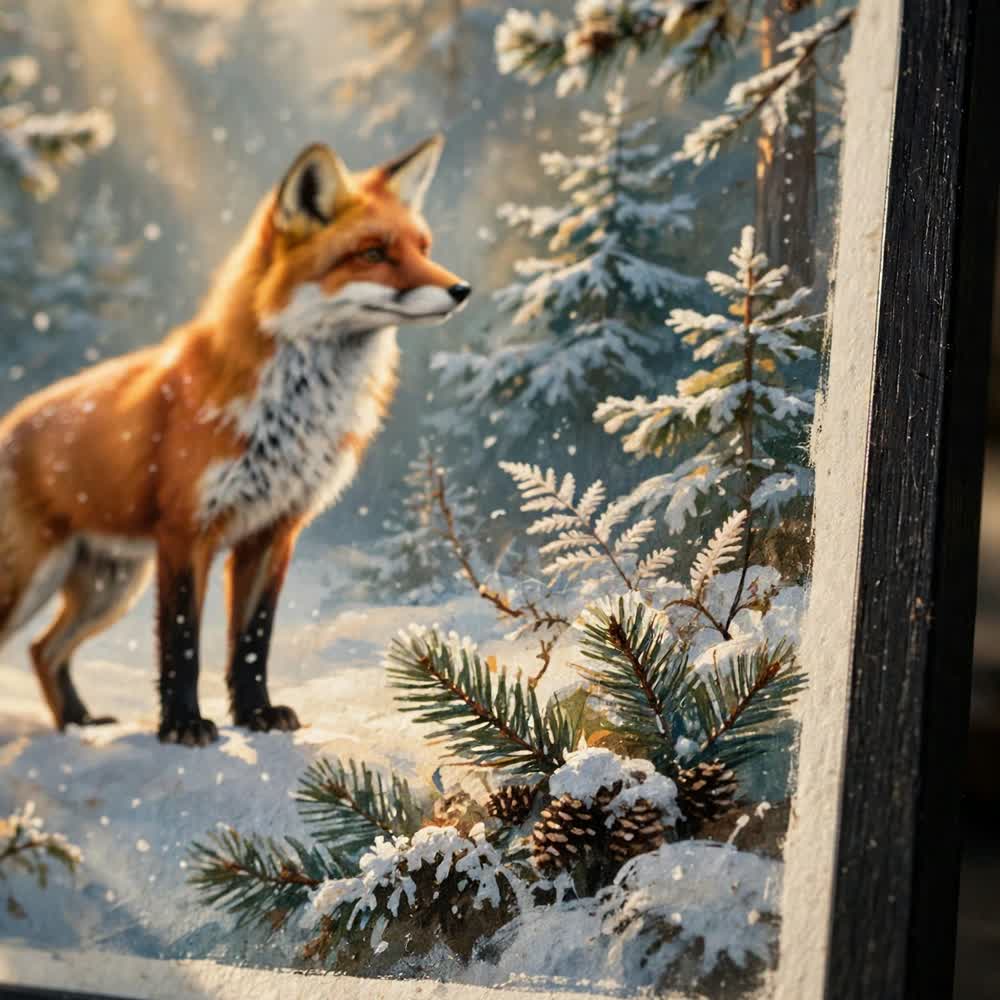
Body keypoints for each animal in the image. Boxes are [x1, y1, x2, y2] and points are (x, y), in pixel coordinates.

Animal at [0, 135, 470, 746]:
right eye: (372, 253)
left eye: (422, 246)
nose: (461, 290)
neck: (294, 411)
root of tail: (12, 421)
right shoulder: (186, 530)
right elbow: (183, 644)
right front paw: (182, 725)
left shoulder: (275, 531)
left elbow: (252, 641)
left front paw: (256, 715)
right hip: (37, 580)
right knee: (38, 645)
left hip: (110, 587)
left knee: (42, 651)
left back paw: (79, 724)